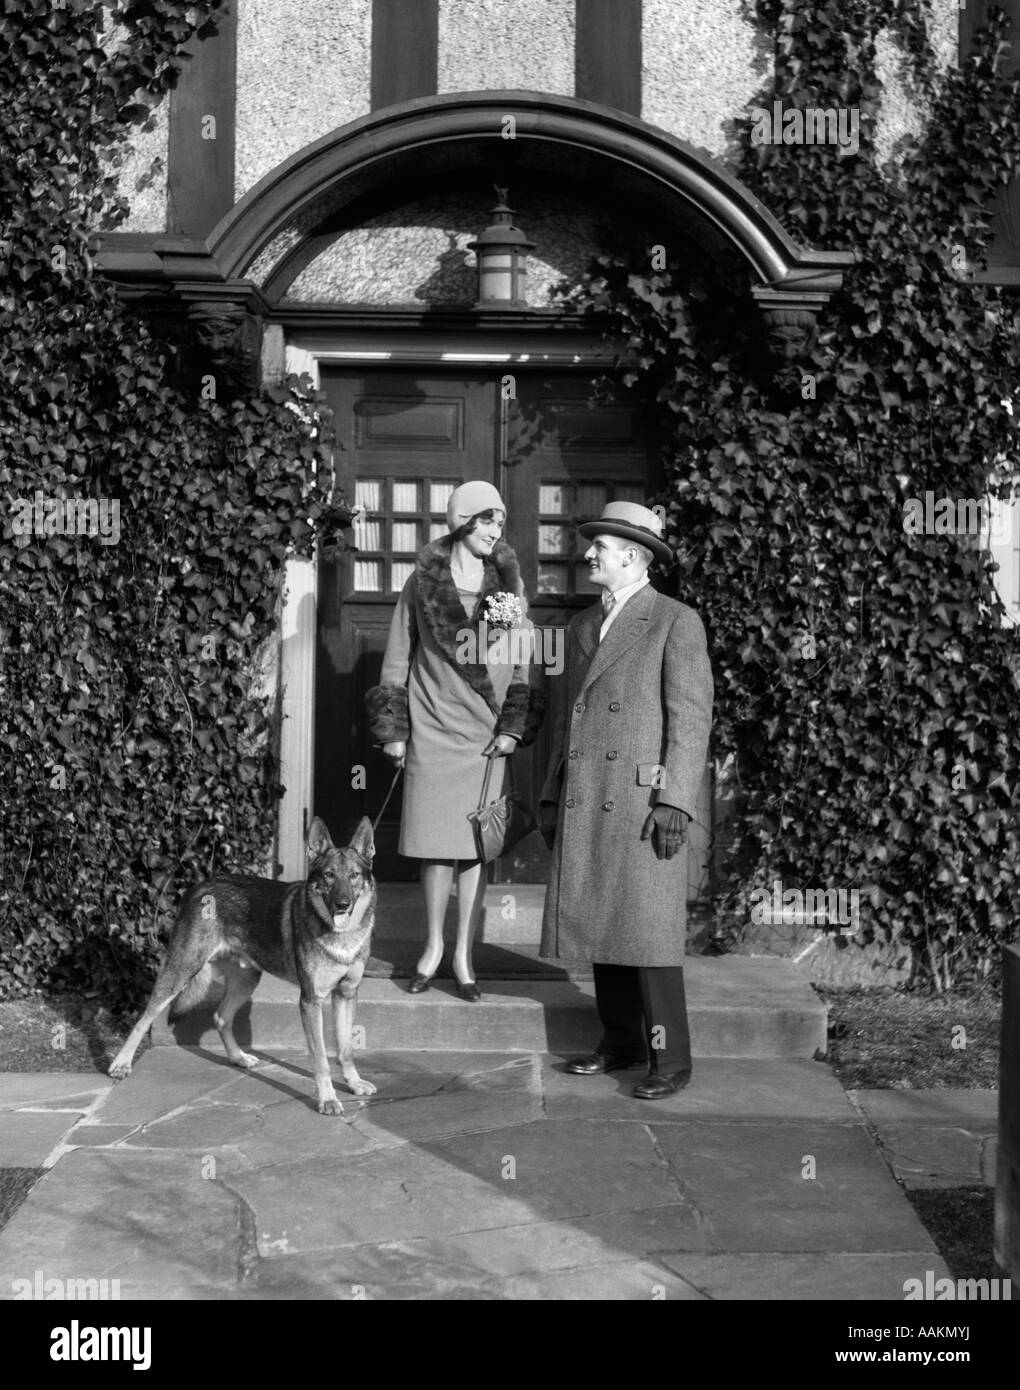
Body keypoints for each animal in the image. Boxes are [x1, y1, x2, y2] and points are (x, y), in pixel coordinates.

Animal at [109, 817, 380, 1112]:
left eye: (354, 875)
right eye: (329, 875)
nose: (342, 904)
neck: (342, 936)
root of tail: (199, 887)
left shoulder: (346, 994)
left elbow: (345, 1049)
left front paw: (354, 1083)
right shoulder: (311, 1001)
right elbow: (321, 1059)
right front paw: (328, 1099)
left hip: (246, 981)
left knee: (221, 1017)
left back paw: (239, 1057)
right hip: (181, 971)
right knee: (144, 1017)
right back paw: (120, 1064)